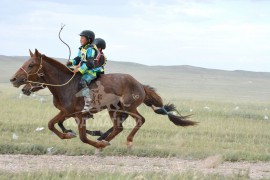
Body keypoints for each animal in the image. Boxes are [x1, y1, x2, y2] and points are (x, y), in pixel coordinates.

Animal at [10, 48, 197, 149]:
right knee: (118, 127)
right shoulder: (67, 112)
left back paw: (124, 141)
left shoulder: (78, 114)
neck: (65, 85)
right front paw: (69, 134)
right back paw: (105, 140)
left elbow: (82, 137)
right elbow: (52, 124)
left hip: (128, 107)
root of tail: (139, 84)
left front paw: (94, 142)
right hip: (114, 109)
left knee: (140, 120)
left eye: (31, 65)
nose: (14, 80)